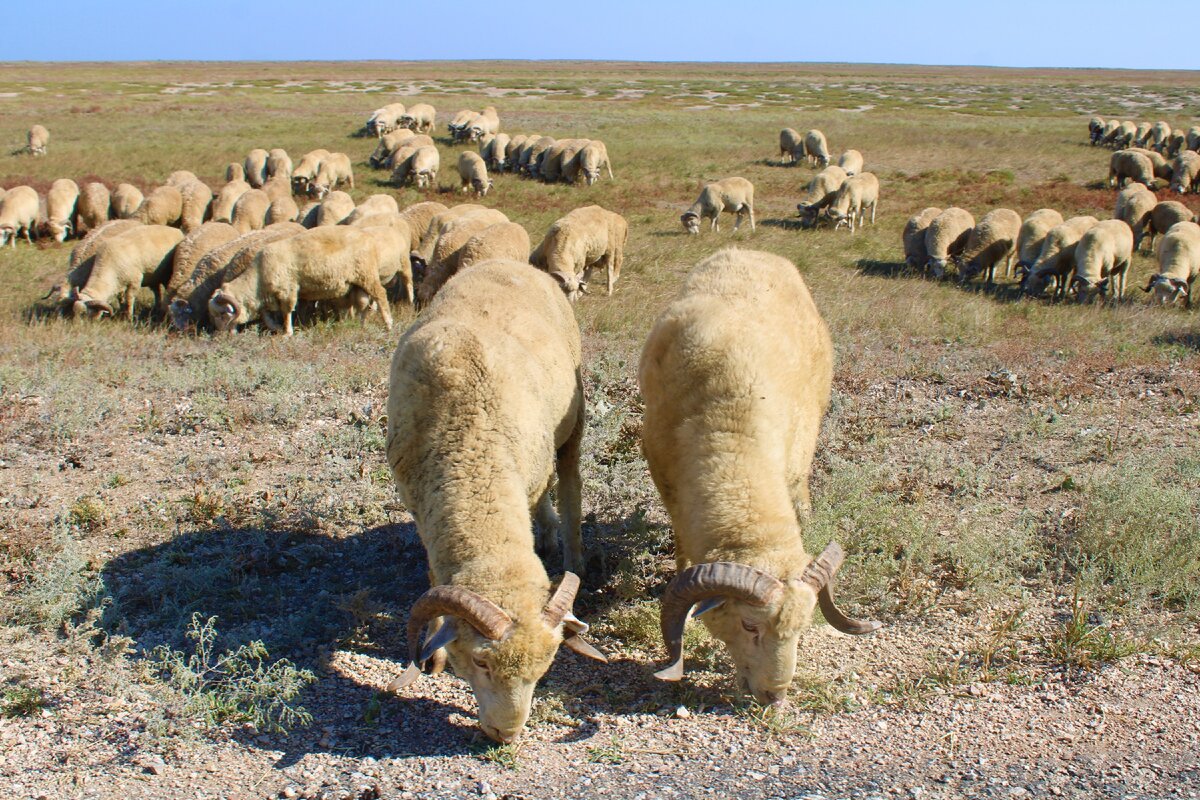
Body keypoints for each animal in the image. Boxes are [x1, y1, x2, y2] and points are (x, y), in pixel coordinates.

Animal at [208, 221, 391, 335]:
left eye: (223, 315)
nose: (220, 337)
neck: (258, 276)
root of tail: (368, 237)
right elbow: (267, 315)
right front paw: (276, 327)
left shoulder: (287, 290)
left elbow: (287, 311)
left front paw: (287, 333)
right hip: (358, 282)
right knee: (364, 302)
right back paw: (362, 325)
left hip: (367, 274)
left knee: (380, 295)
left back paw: (388, 325)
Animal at [384, 260, 600, 743]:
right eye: (481, 661)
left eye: (545, 668)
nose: (506, 735)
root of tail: (513, 263)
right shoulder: (418, 504)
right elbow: (433, 572)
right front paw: (434, 654)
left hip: (572, 419)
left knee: (570, 484)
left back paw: (572, 550)